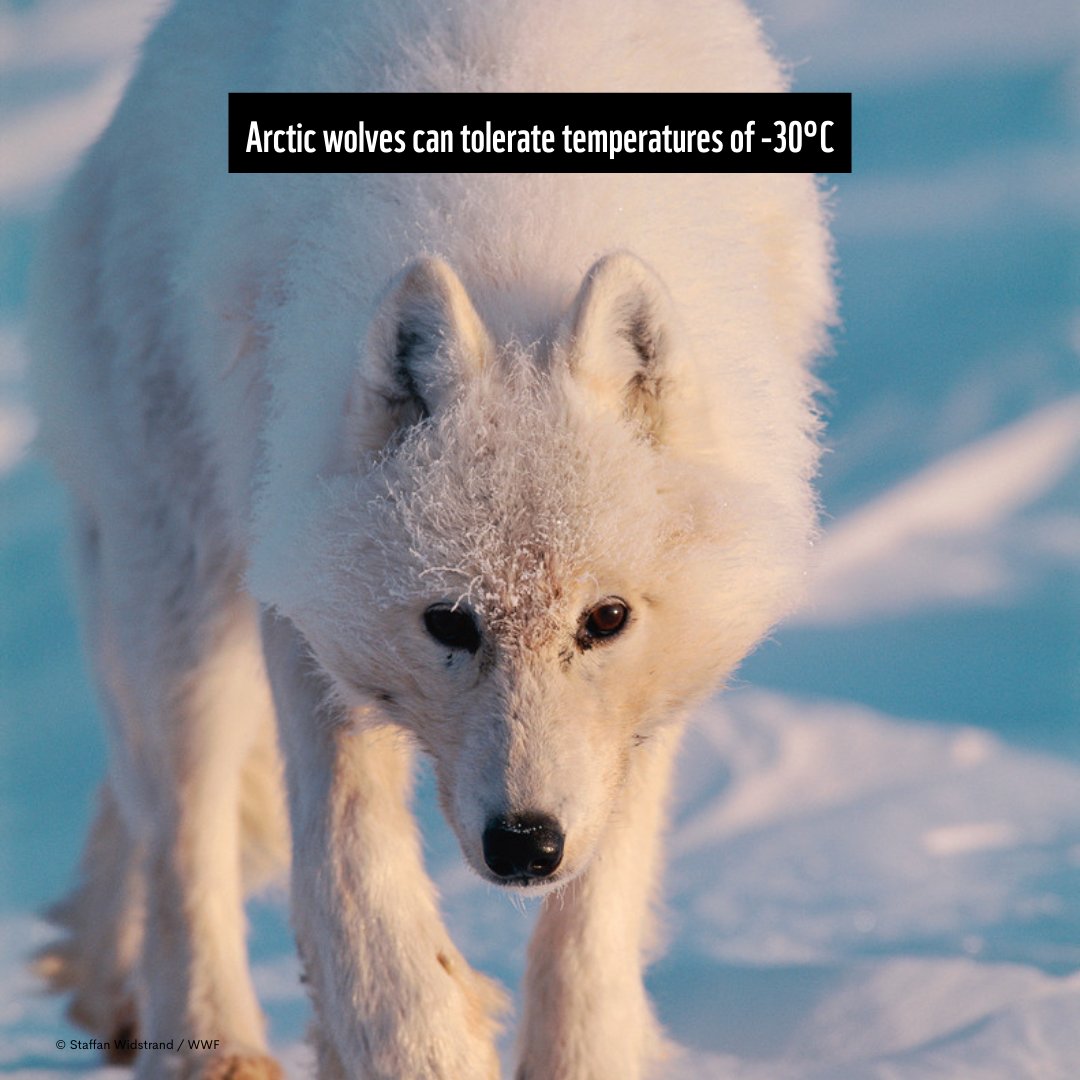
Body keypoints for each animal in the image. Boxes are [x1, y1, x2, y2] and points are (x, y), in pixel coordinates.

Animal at [28, 0, 834, 1076]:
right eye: (449, 623)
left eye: (606, 619)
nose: (525, 846)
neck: (517, 215)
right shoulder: (302, 603)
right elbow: (351, 879)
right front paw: (420, 1042)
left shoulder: (641, 712)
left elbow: (593, 923)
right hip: (188, 593)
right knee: (180, 830)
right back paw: (204, 1045)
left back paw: (105, 980)